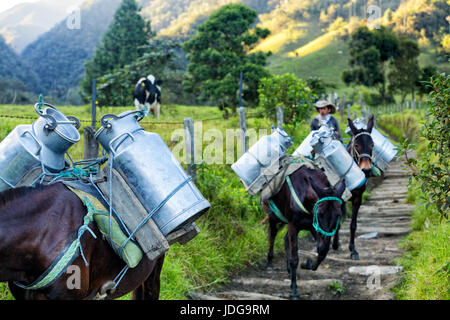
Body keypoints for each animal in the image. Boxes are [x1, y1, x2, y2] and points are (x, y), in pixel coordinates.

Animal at [262, 166, 346, 298]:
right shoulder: (294, 225)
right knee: (272, 234)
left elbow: (322, 252)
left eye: (338, 215)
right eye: (320, 214)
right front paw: (294, 290)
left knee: (285, 239)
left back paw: (289, 269)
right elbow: (295, 258)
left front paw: (307, 264)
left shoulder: (313, 226)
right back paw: (270, 262)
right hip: (272, 215)